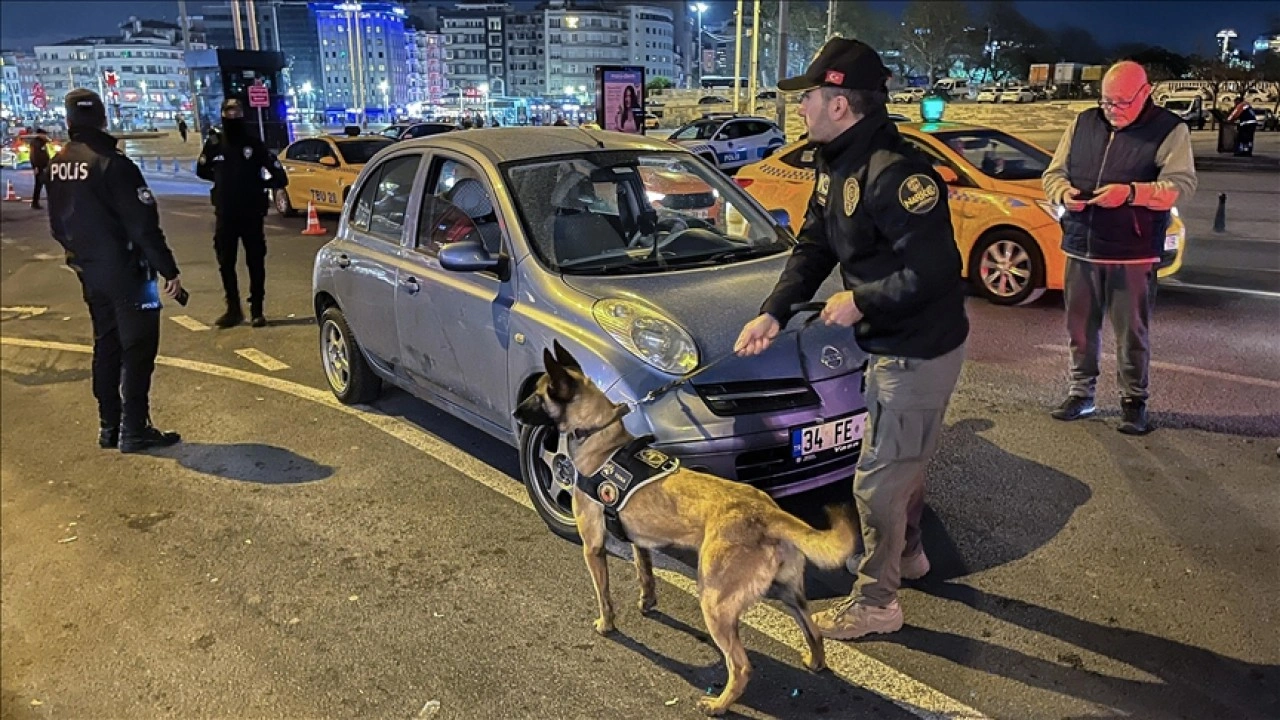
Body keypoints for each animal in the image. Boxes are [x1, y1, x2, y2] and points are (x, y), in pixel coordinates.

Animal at [512, 340, 860, 712]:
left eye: (538, 396)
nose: (516, 414)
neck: (601, 436)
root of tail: (767, 512)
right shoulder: (640, 542)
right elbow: (645, 573)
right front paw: (647, 601)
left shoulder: (593, 547)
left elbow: (603, 595)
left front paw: (607, 624)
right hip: (787, 592)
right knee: (813, 632)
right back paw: (814, 662)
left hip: (715, 602)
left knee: (741, 665)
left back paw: (719, 704)